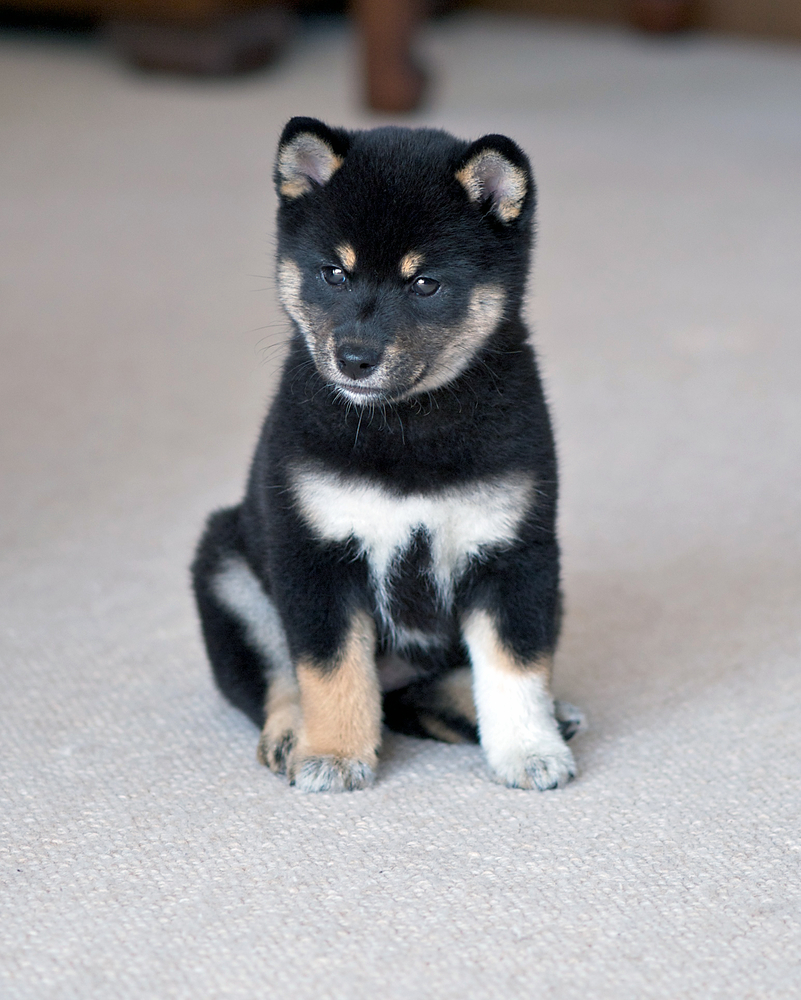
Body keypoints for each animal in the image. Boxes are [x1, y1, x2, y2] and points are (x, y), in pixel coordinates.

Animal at [191, 115, 584, 788]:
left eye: (424, 283)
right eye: (334, 273)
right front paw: (334, 754)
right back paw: (292, 734)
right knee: (281, 679)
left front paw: (530, 750)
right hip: (227, 570)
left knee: (429, 691)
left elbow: (514, 669)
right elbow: (330, 671)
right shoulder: (316, 556)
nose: (354, 357)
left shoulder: (514, 555)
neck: (403, 427)